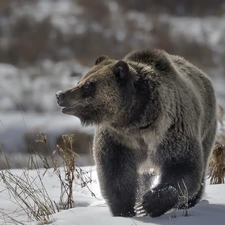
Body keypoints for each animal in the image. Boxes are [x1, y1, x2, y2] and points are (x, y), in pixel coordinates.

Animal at [55, 49, 217, 218]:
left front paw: (150, 203)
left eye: (88, 84)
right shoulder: (120, 139)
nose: (60, 95)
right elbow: (116, 172)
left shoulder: (171, 130)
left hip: (206, 127)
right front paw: (125, 209)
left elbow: (182, 166)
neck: (136, 120)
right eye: (81, 80)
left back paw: (189, 202)